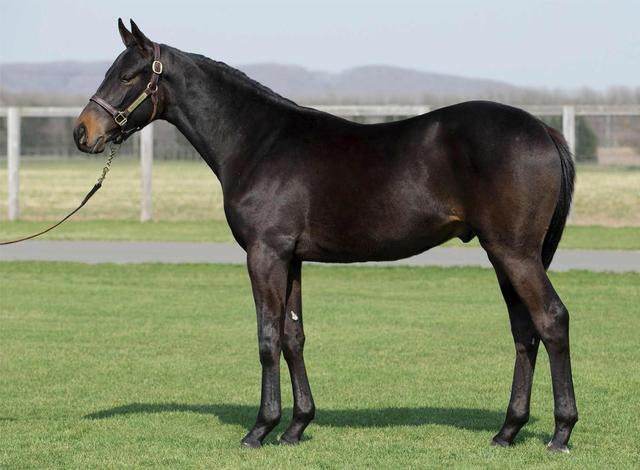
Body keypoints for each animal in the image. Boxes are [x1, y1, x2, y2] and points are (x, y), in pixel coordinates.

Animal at [74, 19, 578, 452]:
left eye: (128, 76)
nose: (83, 132)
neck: (258, 142)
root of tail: (544, 129)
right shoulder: (291, 258)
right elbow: (293, 336)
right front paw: (296, 426)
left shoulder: (264, 254)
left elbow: (267, 336)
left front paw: (260, 429)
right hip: (504, 255)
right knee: (524, 330)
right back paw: (508, 431)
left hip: (514, 253)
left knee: (551, 319)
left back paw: (561, 432)